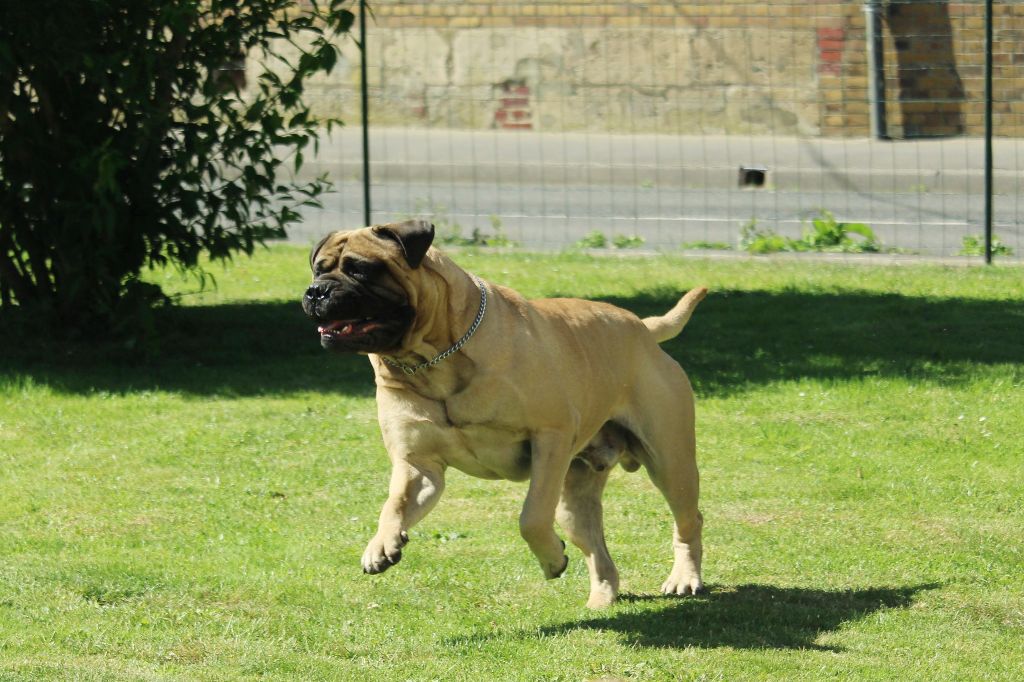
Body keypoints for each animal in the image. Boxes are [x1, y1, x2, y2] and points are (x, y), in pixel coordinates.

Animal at [299, 219, 708, 606]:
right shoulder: (418, 464)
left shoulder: (550, 438)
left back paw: (683, 578)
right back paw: (602, 597)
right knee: (597, 547)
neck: (432, 361)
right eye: (318, 269)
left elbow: (531, 516)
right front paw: (381, 545)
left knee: (689, 520)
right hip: (577, 497)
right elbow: (394, 504)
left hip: (670, 463)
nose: (316, 291)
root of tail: (644, 327)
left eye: (362, 270)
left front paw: (552, 560)